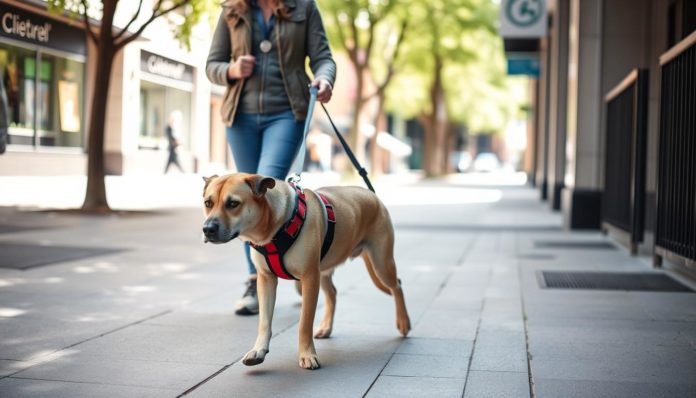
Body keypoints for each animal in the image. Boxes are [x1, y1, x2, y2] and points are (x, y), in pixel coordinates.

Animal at [200, 174, 408, 370]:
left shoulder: (309, 279)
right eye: (208, 203)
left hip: (381, 263)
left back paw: (404, 322)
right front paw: (258, 349)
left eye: (233, 203)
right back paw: (326, 327)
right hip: (325, 269)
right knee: (332, 293)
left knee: (397, 285)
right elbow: (264, 321)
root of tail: (372, 195)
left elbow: (304, 324)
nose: (207, 229)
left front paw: (307, 355)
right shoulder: (266, 280)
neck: (275, 227)